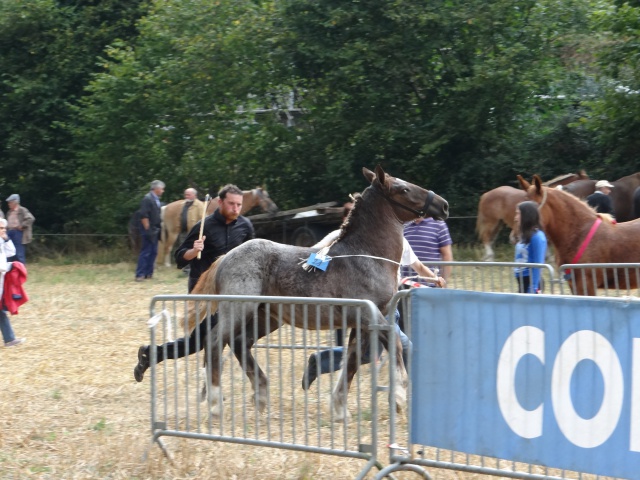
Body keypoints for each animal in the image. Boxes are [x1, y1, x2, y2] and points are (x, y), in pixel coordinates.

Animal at [188, 165, 448, 420]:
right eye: (403, 189)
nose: (443, 205)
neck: (367, 255)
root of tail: (225, 258)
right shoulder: (368, 316)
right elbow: (393, 343)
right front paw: (399, 397)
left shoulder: (363, 322)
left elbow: (352, 359)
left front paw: (340, 409)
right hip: (238, 309)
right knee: (214, 342)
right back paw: (215, 404)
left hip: (267, 317)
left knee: (240, 343)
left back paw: (260, 396)